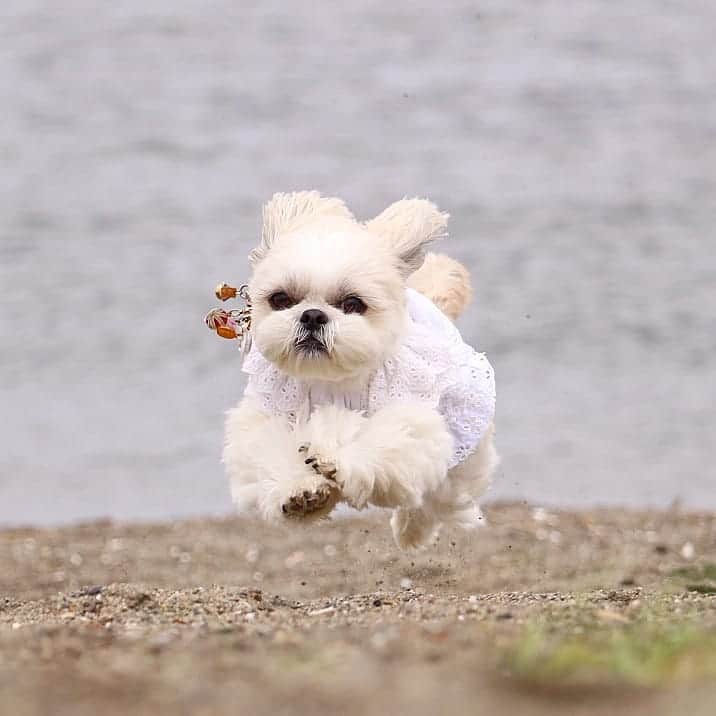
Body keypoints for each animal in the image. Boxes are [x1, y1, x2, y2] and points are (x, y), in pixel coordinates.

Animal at [224, 192, 498, 548]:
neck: (332, 380)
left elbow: (378, 438)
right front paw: (301, 493)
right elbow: (269, 447)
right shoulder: (269, 414)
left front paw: (334, 459)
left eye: (353, 304)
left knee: (441, 498)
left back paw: (412, 530)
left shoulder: (411, 419)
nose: (313, 315)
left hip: (463, 450)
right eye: (281, 299)